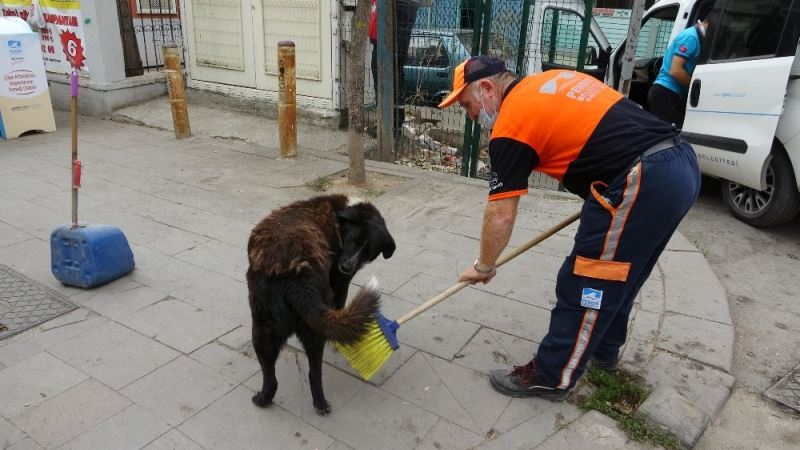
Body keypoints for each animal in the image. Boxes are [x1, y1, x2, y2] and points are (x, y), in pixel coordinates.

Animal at [245, 194, 392, 414]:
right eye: (353, 242)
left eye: (369, 252)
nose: (347, 267)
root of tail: (297, 279)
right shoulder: (340, 281)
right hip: (306, 330)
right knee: (314, 373)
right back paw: (320, 404)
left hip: (263, 329)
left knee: (273, 378)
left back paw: (263, 400)